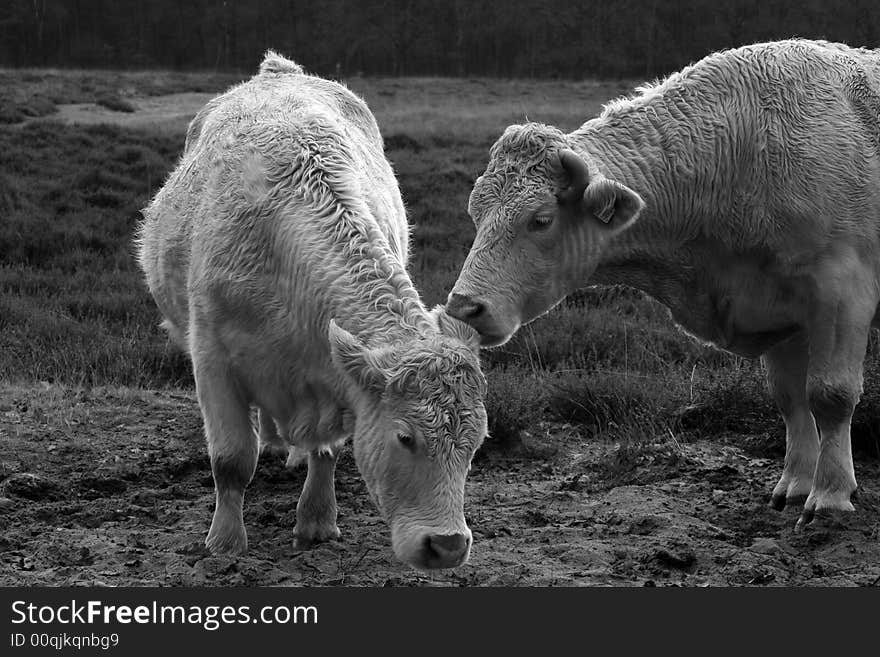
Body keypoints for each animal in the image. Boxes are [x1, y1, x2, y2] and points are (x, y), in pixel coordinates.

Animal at [141, 50, 492, 568]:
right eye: (405, 437)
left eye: (475, 444)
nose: (447, 545)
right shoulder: (212, 360)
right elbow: (230, 461)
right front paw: (225, 541)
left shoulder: (335, 375)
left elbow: (328, 449)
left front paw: (317, 520)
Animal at [446, 39, 880, 524]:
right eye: (475, 213)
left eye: (540, 220)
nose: (464, 307)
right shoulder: (778, 308)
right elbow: (791, 399)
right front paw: (795, 484)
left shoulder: (841, 293)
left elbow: (830, 395)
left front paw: (830, 492)